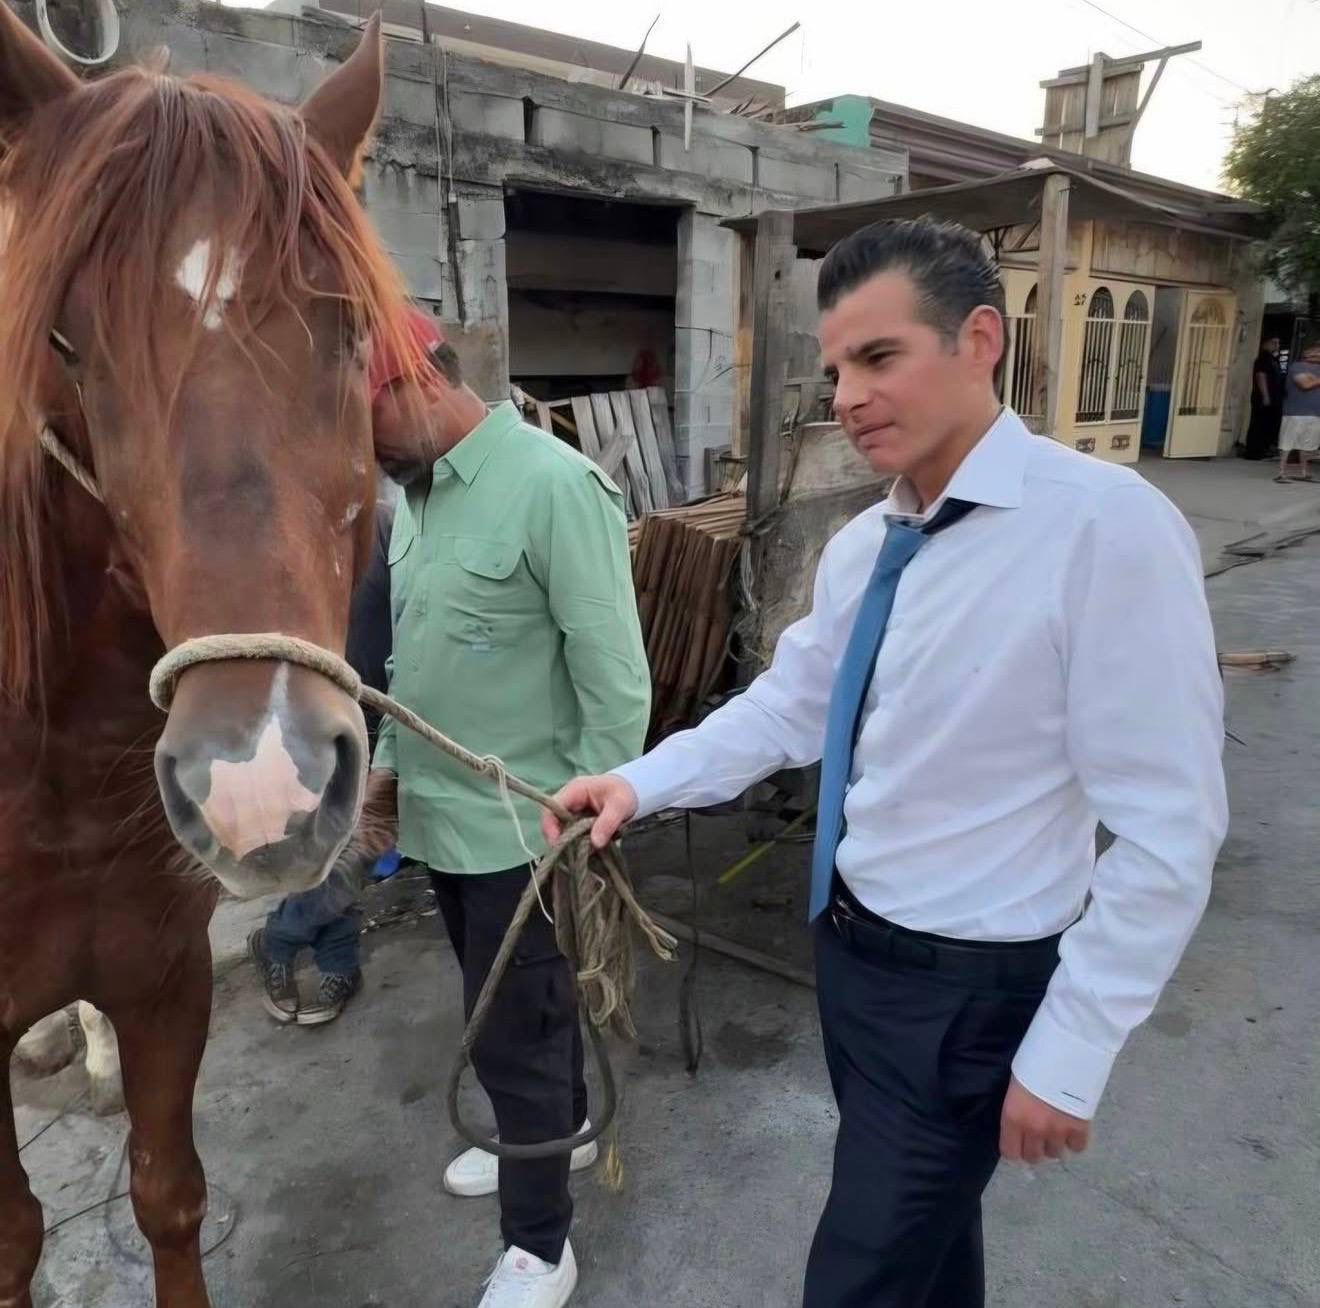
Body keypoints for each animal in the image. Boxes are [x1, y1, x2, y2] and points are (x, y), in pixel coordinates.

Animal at [0, 10, 426, 1304]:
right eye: (66, 344)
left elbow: (167, 1193)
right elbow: (18, 1234)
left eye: (349, 327)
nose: (258, 784)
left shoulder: (160, 972)